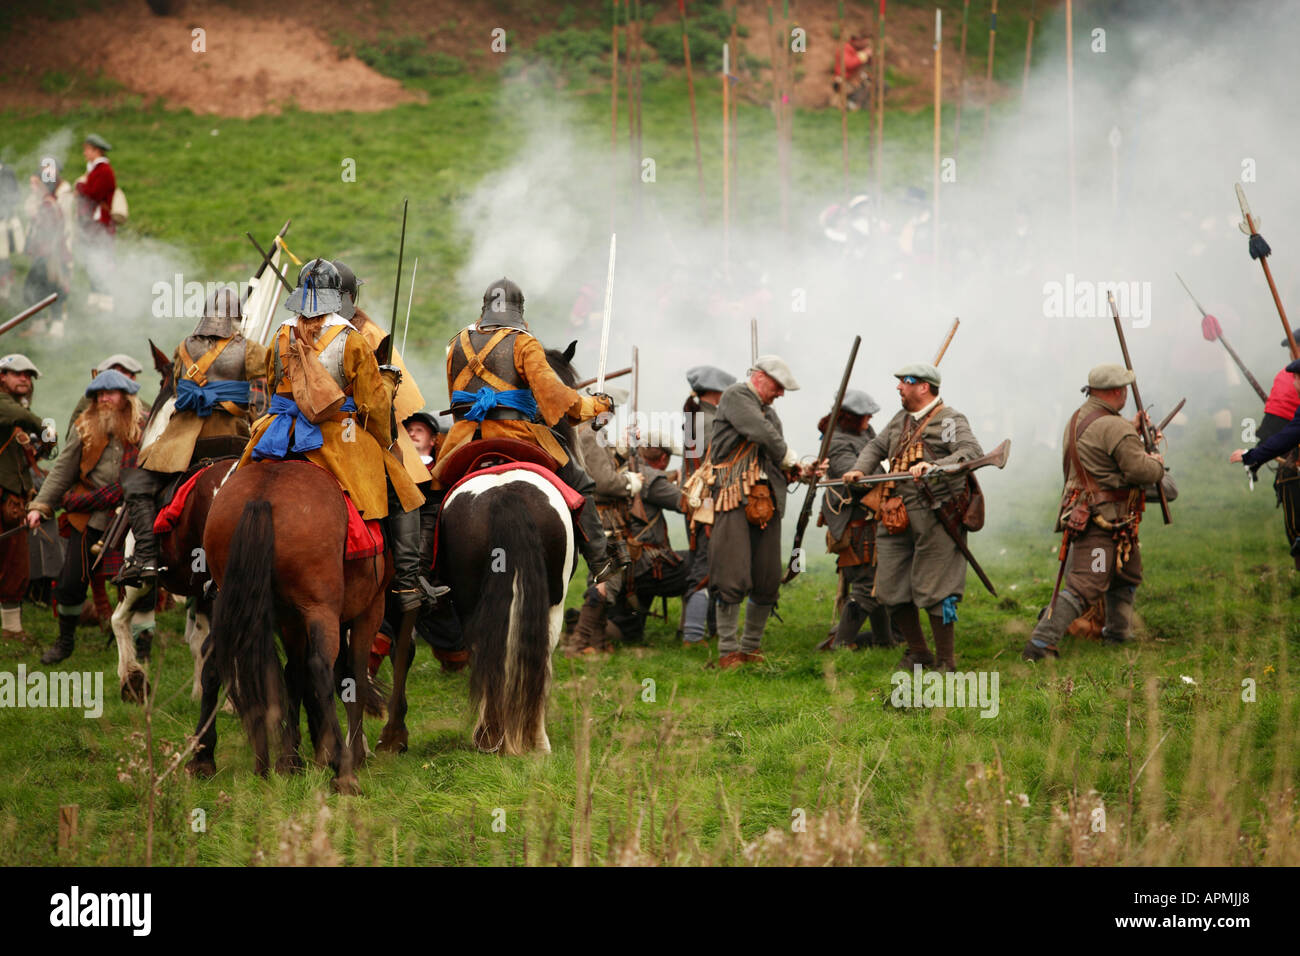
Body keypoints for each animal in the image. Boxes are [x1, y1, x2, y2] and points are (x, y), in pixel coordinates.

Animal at [189, 460, 387, 796]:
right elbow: (354, 677)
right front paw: (350, 753)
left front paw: (292, 759)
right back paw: (343, 771)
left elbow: (292, 676)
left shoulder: (290, 620)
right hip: (321, 609)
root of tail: (262, 496)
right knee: (320, 667)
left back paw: (205, 758)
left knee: (213, 661)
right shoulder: (370, 610)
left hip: (232, 600)